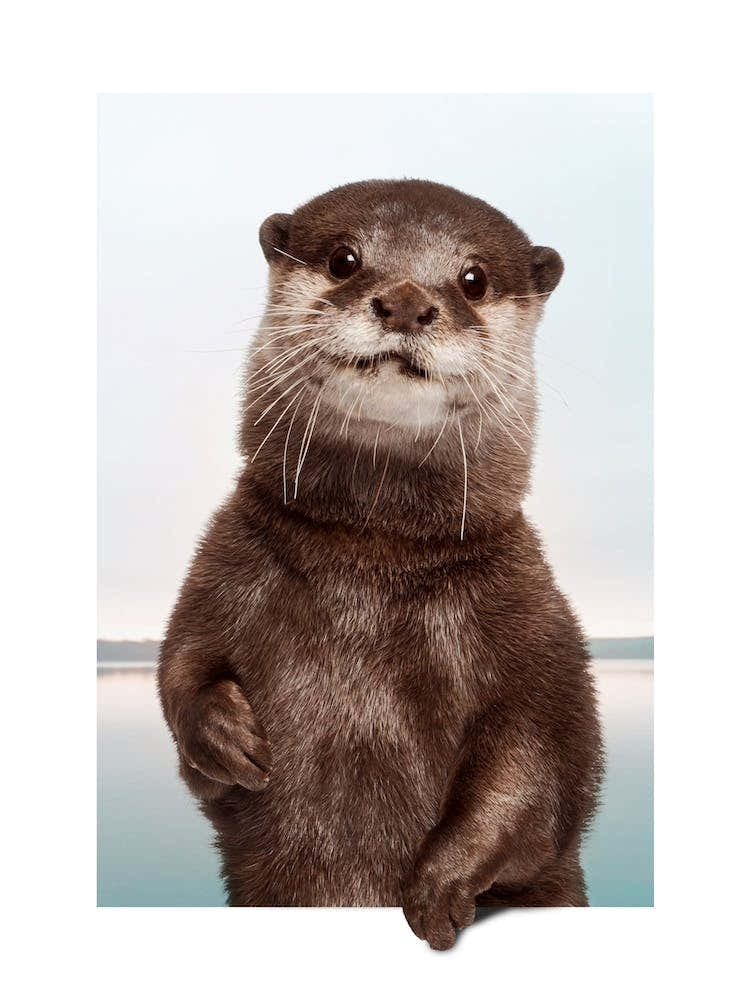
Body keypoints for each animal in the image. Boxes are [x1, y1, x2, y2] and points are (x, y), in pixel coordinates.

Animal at [158, 179, 603, 949]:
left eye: (473, 279)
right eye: (345, 259)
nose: (404, 302)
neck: (370, 563)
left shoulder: (536, 631)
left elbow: (539, 774)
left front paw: (439, 886)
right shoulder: (222, 571)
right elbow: (180, 666)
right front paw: (225, 737)